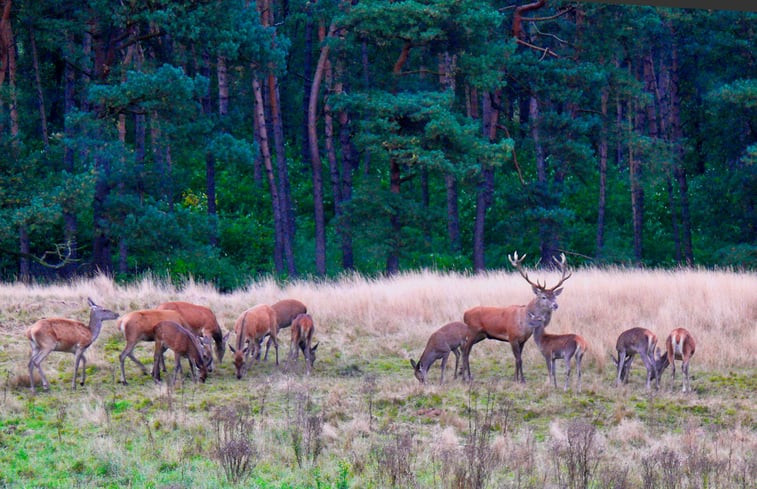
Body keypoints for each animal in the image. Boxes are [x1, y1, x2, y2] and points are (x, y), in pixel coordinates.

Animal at [458, 252, 568, 382]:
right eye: (544, 297)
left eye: (555, 296)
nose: (555, 305)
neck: (525, 323)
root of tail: (465, 314)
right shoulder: (512, 337)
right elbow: (518, 359)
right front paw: (520, 380)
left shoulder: (523, 340)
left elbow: (519, 359)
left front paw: (517, 378)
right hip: (472, 331)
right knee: (465, 350)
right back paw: (466, 377)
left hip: (480, 335)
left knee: (465, 349)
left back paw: (466, 375)